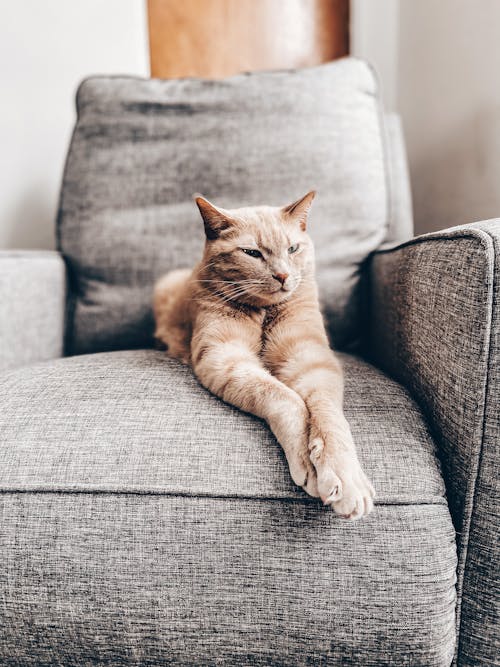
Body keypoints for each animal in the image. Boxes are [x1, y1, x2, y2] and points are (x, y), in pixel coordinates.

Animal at [154, 190, 374, 520]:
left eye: (293, 248)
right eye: (252, 253)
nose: (282, 275)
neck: (264, 311)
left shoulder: (311, 360)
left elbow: (329, 418)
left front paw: (345, 476)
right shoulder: (224, 357)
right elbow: (285, 398)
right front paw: (306, 459)